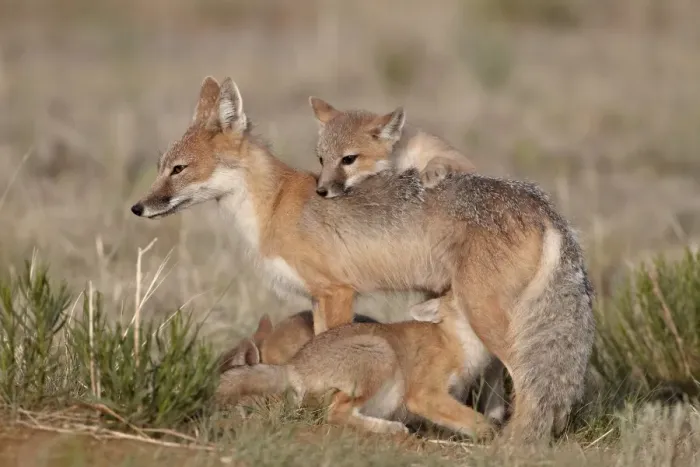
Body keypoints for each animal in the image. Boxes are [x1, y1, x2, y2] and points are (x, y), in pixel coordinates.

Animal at [215, 300, 497, 440]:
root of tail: (293, 364)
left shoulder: (449, 396)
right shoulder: (424, 394)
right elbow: (482, 423)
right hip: (381, 353)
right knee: (337, 413)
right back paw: (390, 429)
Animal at [308, 96, 476, 199]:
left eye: (348, 159)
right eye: (321, 160)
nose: (320, 191)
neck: (403, 160)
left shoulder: (463, 161)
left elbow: (440, 158)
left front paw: (431, 171)